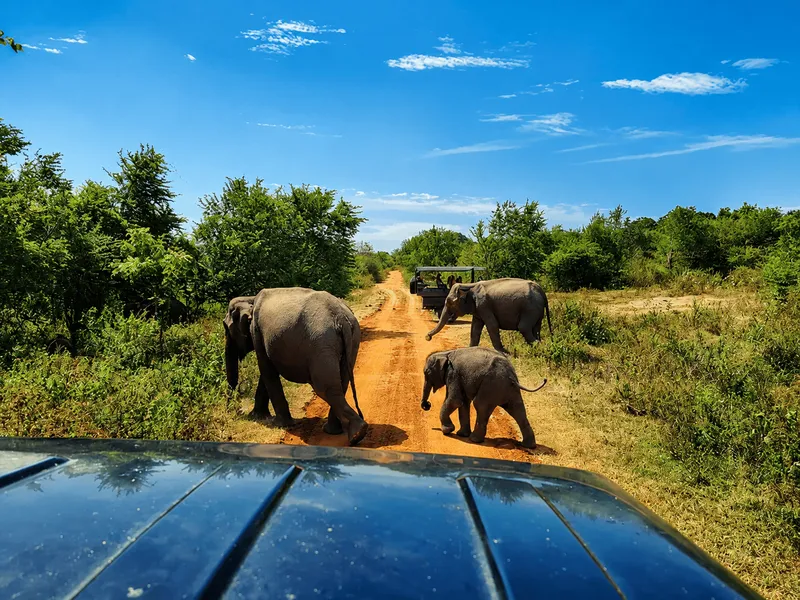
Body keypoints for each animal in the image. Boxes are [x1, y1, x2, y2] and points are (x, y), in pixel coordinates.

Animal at [224, 288, 368, 446]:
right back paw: (341, 431)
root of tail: (341, 318)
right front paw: (257, 416)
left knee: (324, 387)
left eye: (226, 327)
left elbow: (267, 370)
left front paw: (279, 424)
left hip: (321, 343)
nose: (237, 411)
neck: (250, 299)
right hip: (352, 339)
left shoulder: (257, 331)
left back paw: (356, 433)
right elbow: (267, 371)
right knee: (341, 383)